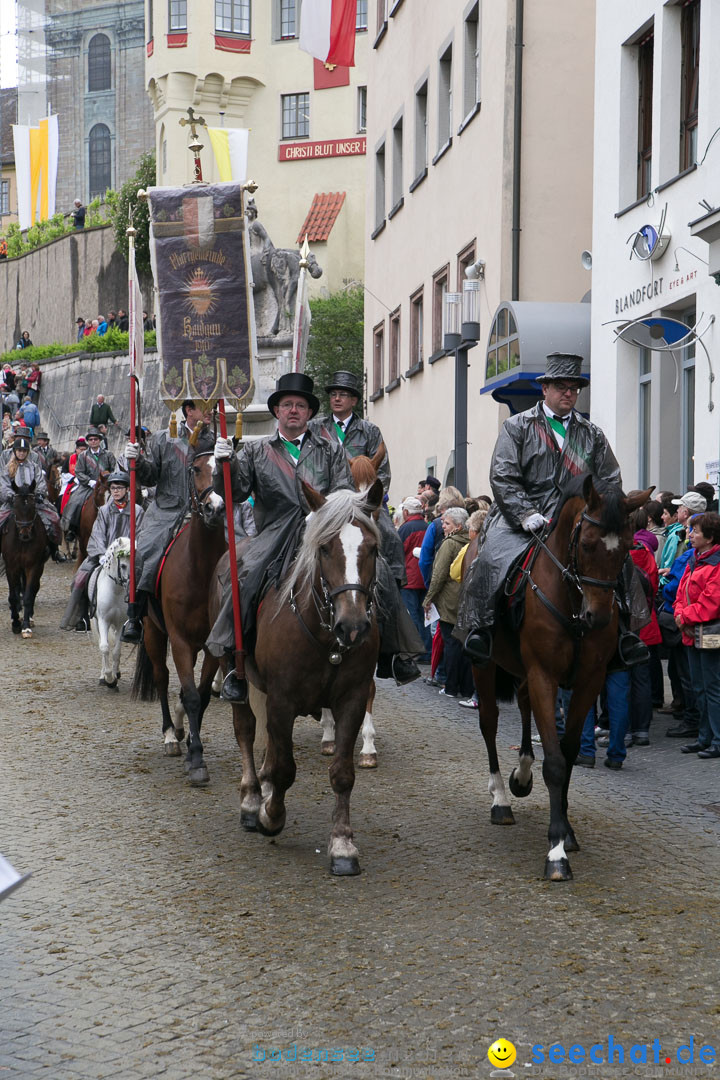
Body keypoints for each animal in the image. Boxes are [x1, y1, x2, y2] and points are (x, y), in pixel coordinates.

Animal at [1, 479, 48, 630]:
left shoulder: (33, 566)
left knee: (33, 589)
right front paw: (15, 622)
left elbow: (28, 595)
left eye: (33, 506)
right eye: (15, 506)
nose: (25, 535)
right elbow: (13, 595)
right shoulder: (11, 566)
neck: (22, 542)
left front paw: (26, 626)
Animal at [91, 540, 131, 691]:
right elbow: (104, 647)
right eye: (123, 565)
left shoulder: (120, 623)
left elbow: (116, 651)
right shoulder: (103, 621)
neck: (116, 591)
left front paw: (114, 677)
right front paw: (108, 678)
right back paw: (103, 676)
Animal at [132, 447, 226, 786]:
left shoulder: (212, 645)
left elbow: (201, 695)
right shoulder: (181, 641)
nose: (215, 509)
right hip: (153, 633)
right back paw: (171, 735)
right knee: (161, 678)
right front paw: (195, 758)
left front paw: (193, 746)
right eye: (196, 469)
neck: (200, 569)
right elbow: (192, 696)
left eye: (225, 466)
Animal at [220, 481, 386, 876]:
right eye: (325, 548)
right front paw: (270, 816)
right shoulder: (283, 701)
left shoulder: (352, 699)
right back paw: (252, 799)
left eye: (372, 548)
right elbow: (285, 769)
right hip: (235, 674)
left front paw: (342, 845)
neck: (327, 639)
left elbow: (342, 773)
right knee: (246, 730)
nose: (353, 625)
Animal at [472, 477, 651, 881]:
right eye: (585, 544)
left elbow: (567, 755)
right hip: (484, 663)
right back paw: (500, 799)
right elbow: (554, 762)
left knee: (524, 707)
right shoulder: (544, 674)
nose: (599, 618)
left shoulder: (588, 681)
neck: (571, 604)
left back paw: (522, 774)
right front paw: (556, 852)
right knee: (489, 723)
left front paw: (566, 831)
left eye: (627, 547)